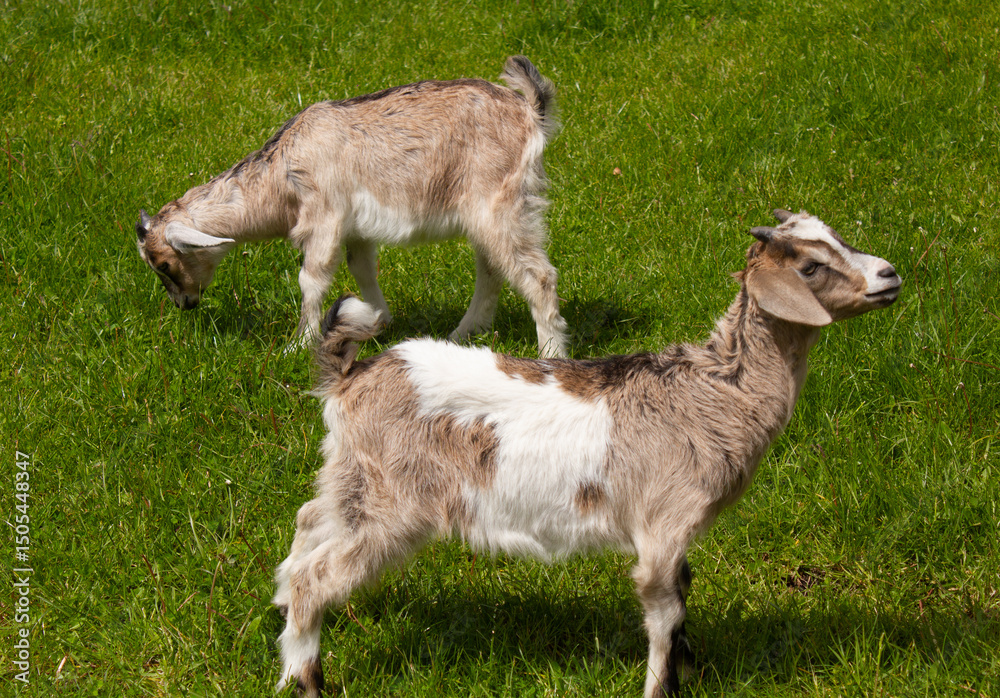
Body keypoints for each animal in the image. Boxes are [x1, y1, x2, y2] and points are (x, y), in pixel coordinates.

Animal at [135, 56, 568, 358]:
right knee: (492, 268)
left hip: (501, 205)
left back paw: (550, 354)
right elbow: (361, 268)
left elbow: (311, 278)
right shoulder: (357, 229)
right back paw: (462, 334)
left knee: (539, 277)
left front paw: (298, 345)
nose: (184, 304)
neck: (280, 172)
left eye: (164, 264)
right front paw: (377, 320)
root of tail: (530, 112)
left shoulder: (323, 217)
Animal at [273, 210, 901, 696]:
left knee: (308, 521)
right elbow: (664, 610)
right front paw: (660, 687)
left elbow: (683, 596)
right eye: (810, 266)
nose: (890, 274)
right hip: (393, 504)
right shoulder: (664, 523)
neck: (713, 392)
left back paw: (279, 624)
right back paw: (306, 677)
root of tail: (349, 377)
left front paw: (690, 671)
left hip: (353, 477)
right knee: (316, 576)